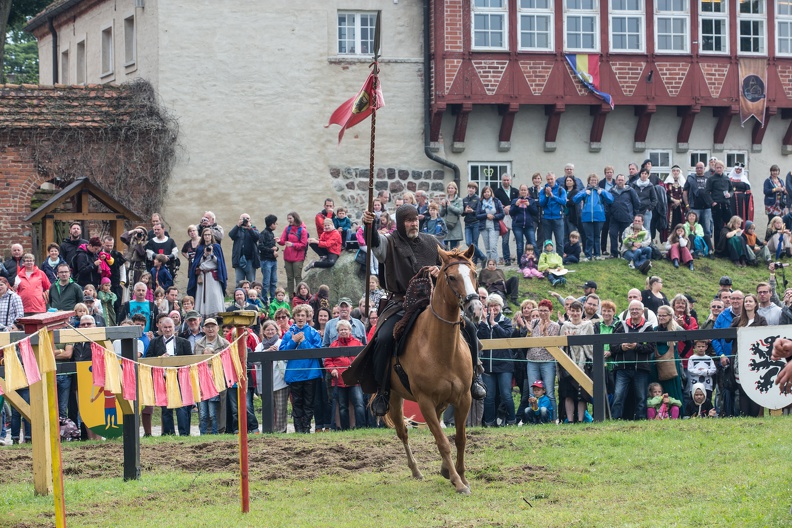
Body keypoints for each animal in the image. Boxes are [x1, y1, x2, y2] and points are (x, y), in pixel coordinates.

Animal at [384, 245, 482, 492]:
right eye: (451, 277)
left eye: (473, 274)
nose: (475, 308)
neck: (442, 349)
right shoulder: (425, 402)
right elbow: (442, 442)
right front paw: (458, 482)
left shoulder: (463, 398)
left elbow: (460, 438)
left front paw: (460, 475)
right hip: (395, 399)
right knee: (403, 432)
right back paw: (416, 471)